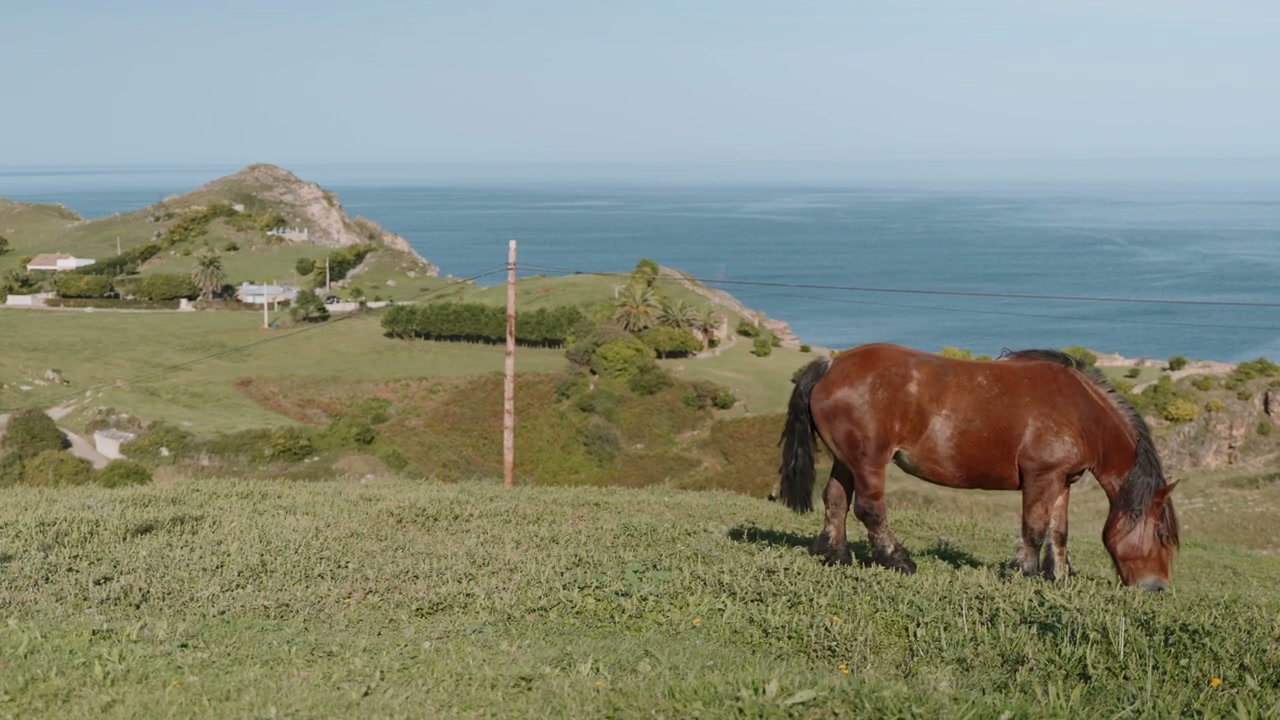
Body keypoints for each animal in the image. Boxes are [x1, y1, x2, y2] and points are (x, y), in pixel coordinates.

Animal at [777, 344, 1179, 591]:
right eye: (1162, 535)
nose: (1157, 588)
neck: (1081, 412)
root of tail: (832, 365)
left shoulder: (1062, 481)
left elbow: (1058, 531)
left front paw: (1058, 576)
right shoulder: (1041, 477)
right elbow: (1034, 528)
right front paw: (1025, 572)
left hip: (846, 461)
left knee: (836, 501)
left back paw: (837, 555)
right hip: (868, 462)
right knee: (870, 509)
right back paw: (898, 560)